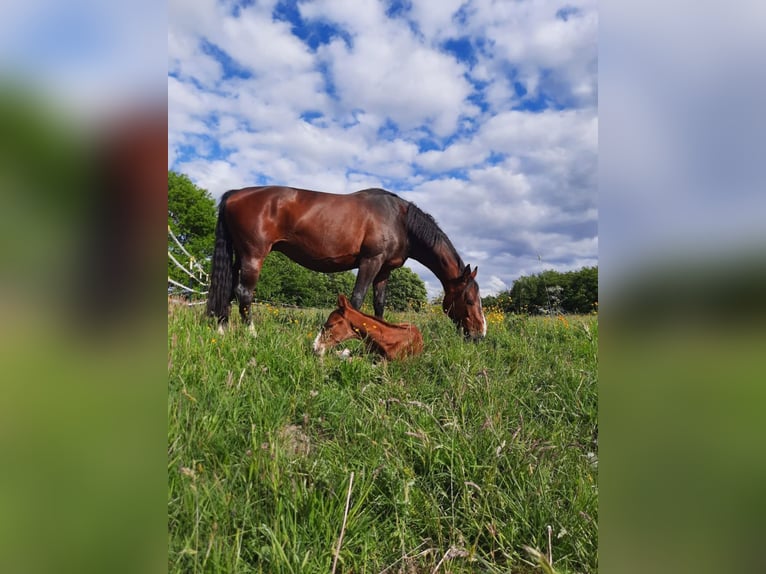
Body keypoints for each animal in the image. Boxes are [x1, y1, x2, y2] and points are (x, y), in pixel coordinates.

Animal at [207, 187, 488, 340]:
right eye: (469, 300)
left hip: (239, 256)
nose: (480, 333)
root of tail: (234, 195)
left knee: (228, 289)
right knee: (244, 292)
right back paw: (251, 333)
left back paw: (222, 330)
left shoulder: (384, 270)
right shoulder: (370, 261)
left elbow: (379, 304)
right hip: (254, 255)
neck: (399, 219)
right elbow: (357, 300)